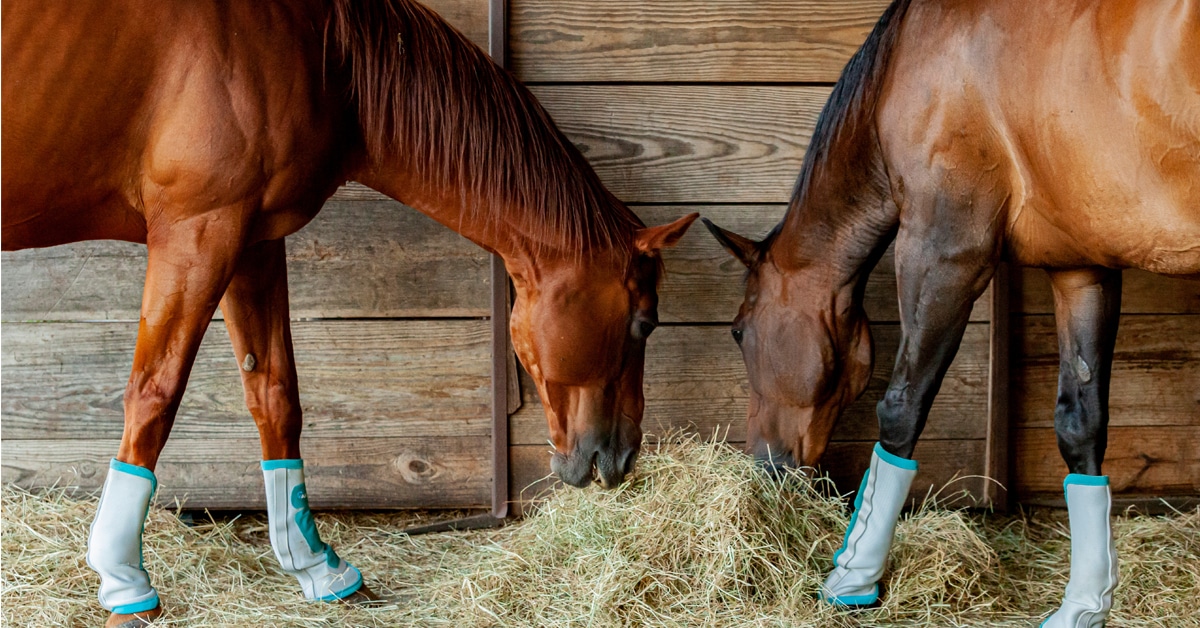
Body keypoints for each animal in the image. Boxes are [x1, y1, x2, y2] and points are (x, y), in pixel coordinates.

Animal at [2, 0, 696, 624]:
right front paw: (124, 583)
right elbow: (154, 396)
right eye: (644, 323)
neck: (316, 51)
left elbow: (275, 396)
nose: (620, 460)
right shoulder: (197, 232)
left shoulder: (250, 239)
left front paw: (316, 566)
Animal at [703, 0, 1198, 623]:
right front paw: (1084, 605)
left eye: (737, 331)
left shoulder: (942, 251)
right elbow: (1080, 423)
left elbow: (901, 409)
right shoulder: (1081, 268)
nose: (765, 468)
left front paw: (853, 576)